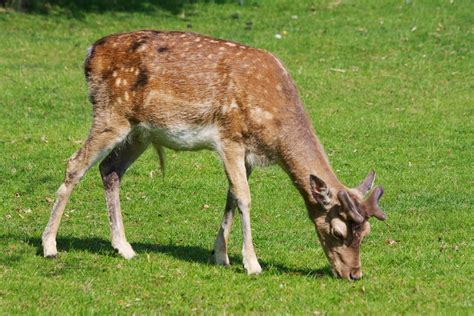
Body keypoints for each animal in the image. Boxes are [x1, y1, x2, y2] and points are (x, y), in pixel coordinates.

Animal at [42, 30, 386, 280]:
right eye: (337, 231)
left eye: (367, 233)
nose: (354, 274)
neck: (273, 128)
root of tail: (90, 53)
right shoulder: (230, 138)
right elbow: (244, 197)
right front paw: (252, 264)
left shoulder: (246, 154)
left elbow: (231, 195)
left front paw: (221, 255)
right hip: (110, 114)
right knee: (75, 164)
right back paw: (49, 245)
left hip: (140, 131)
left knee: (110, 169)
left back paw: (124, 248)